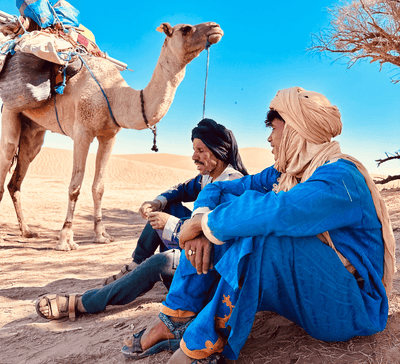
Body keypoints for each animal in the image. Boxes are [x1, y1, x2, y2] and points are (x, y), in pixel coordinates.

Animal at [0, 21, 223, 252]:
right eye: (186, 29)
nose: (216, 27)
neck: (115, 96)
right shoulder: (82, 132)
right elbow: (75, 186)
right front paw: (65, 240)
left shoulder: (108, 136)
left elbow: (99, 187)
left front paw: (102, 235)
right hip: (10, 110)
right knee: (7, 154)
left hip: (33, 130)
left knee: (17, 177)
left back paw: (27, 231)